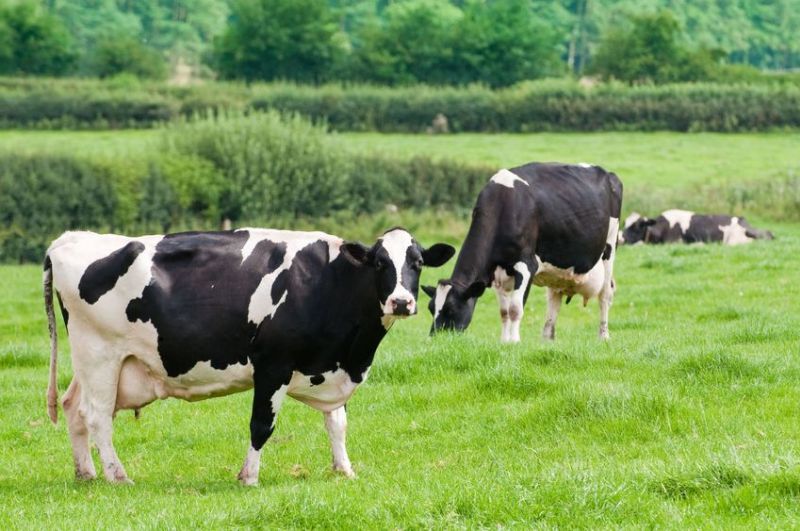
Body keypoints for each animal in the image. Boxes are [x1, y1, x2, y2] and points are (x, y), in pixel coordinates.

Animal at [43, 227, 454, 484]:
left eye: (417, 263)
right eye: (380, 263)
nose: (401, 301)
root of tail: (71, 239)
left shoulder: (330, 363)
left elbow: (337, 423)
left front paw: (344, 470)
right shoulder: (273, 365)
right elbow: (262, 425)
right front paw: (249, 476)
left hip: (96, 363)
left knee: (72, 407)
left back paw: (87, 474)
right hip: (100, 354)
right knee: (97, 417)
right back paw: (118, 476)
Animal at [422, 162, 620, 342]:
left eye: (451, 309)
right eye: (431, 308)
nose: (435, 338)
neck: (502, 206)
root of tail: (607, 173)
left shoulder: (526, 265)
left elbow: (515, 309)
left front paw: (514, 341)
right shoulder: (496, 273)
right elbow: (504, 312)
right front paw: (504, 341)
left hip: (609, 248)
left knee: (605, 295)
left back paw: (603, 335)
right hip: (559, 271)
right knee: (554, 299)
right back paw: (547, 338)